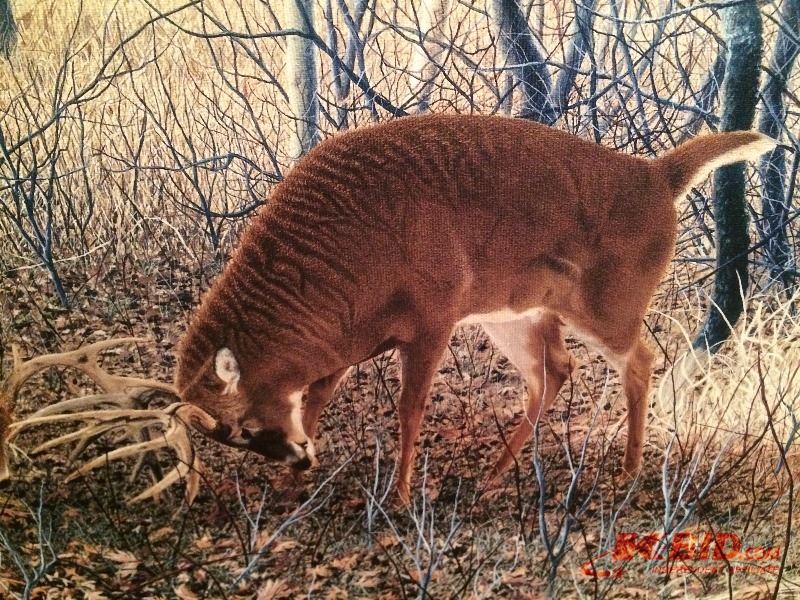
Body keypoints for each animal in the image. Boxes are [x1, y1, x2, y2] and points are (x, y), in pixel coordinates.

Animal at [174, 113, 776, 505]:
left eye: (243, 427)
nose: (299, 457)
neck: (337, 264)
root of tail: (659, 177)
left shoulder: (433, 317)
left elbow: (409, 408)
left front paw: (398, 496)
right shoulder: (349, 338)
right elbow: (319, 396)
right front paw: (291, 485)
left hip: (609, 302)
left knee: (641, 360)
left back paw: (627, 472)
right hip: (513, 314)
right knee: (555, 370)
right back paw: (492, 476)